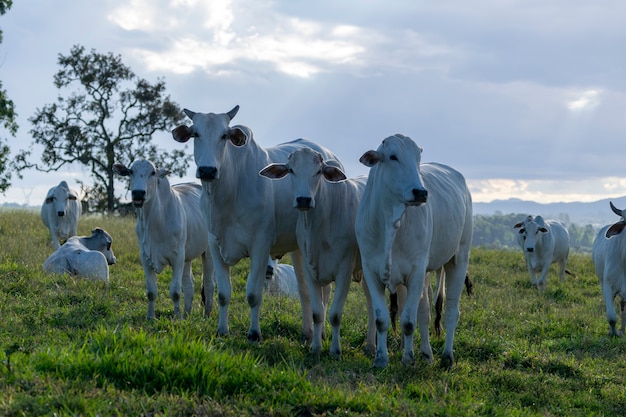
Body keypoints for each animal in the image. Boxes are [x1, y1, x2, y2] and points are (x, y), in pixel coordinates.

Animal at [111, 159, 211, 318]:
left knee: (208, 285)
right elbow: (151, 291)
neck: (154, 220)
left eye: (153, 173)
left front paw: (176, 318)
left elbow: (175, 291)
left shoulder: (177, 257)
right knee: (189, 284)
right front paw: (151, 317)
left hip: (208, 252)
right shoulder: (145, 257)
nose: (138, 193)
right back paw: (186, 314)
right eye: (131, 172)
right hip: (187, 257)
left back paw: (206, 315)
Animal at [171, 104, 344, 342]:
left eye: (224, 135)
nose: (207, 170)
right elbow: (223, 293)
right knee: (304, 291)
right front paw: (222, 330)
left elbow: (253, 294)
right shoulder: (215, 245)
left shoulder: (260, 246)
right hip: (299, 248)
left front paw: (254, 333)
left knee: (324, 292)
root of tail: (331, 155)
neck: (228, 194)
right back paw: (307, 332)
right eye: (195, 134)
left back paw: (322, 333)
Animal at [258, 147, 370, 358]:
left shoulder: (344, 271)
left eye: (318, 171)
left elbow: (335, 315)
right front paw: (316, 347)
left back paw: (373, 346)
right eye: (291, 170)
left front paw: (335, 351)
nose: (304, 199)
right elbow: (318, 313)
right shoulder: (311, 271)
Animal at [354, 134, 470, 368]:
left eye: (418, 157)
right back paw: (427, 354)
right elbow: (381, 319)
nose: (421, 192)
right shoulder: (371, 271)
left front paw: (408, 359)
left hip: (459, 258)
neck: (390, 222)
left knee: (451, 312)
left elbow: (408, 321)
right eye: (393, 157)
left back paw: (447, 356)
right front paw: (381, 358)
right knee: (425, 311)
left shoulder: (415, 272)